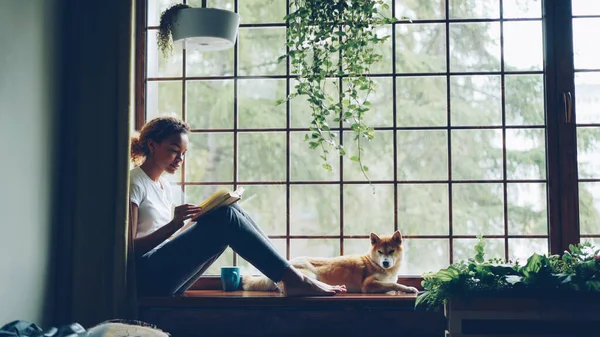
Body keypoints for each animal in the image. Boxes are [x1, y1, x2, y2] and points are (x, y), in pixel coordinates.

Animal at [241, 230, 420, 292]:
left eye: (391, 251)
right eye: (380, 252)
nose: (385, 263)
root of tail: (288, 262)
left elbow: (392, 284)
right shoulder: (368, 285)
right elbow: (395, 285)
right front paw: (408, 288)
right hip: (310, 276)